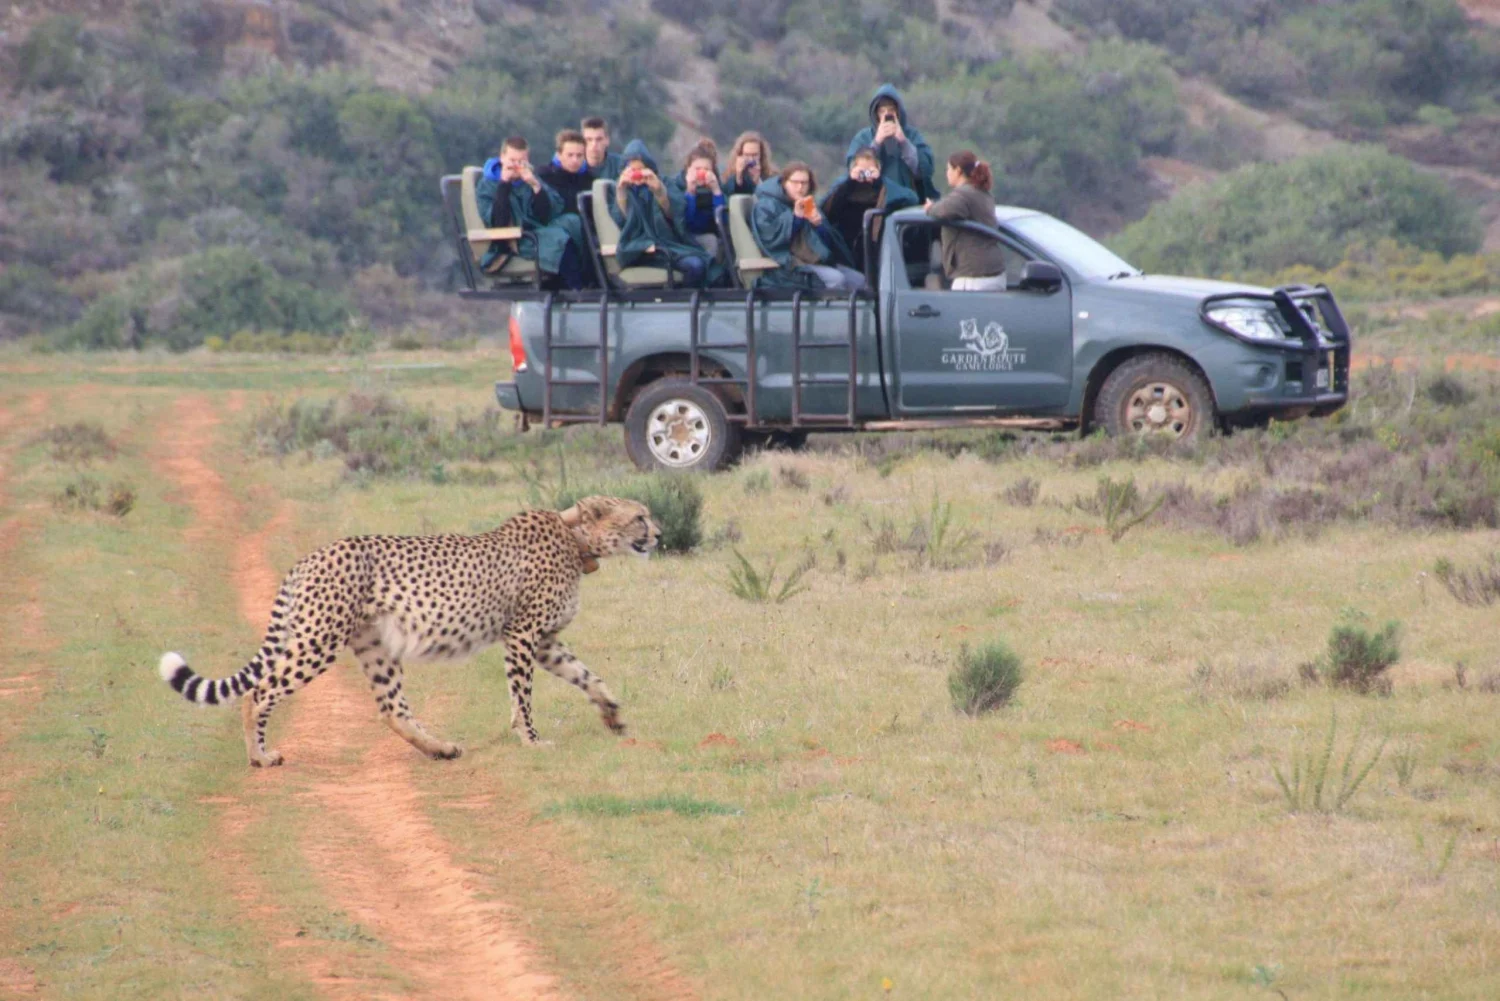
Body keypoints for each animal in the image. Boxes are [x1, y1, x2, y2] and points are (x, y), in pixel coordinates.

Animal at [157, 496, 661, 767]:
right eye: (640, 516)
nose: (658, 535)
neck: (576, 540)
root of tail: (313, 555)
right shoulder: (523, 635)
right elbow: (524, 695)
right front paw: (532, 739)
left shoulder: (546, 642)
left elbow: (587, 676)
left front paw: (613, 716)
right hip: (319, 639)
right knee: (258, 692)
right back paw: (260, 756)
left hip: (374, 645)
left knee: (391, 709)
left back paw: (440, 748)